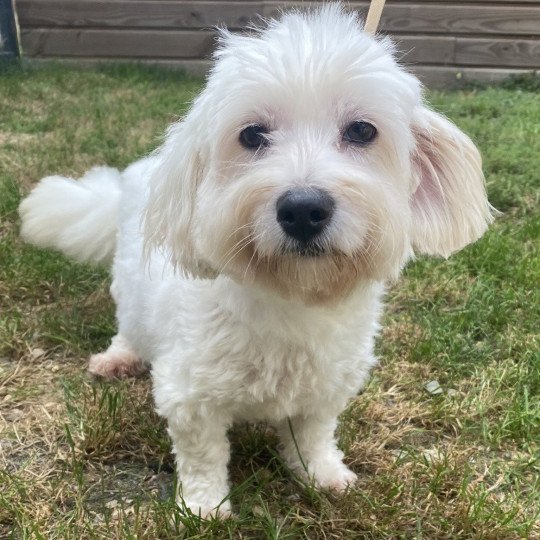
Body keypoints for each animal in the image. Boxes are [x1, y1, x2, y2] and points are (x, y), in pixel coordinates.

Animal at [19, 3, 494, 520]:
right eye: (251, 135)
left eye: (362, 131)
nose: (303, 209)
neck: (292, 298)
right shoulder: (190, 396)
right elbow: (203, 457)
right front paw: (203, 507)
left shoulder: (325, 389)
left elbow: (313, 435)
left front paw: (322, 475)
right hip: (130, 286)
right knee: (130, 323)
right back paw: (117, 357)